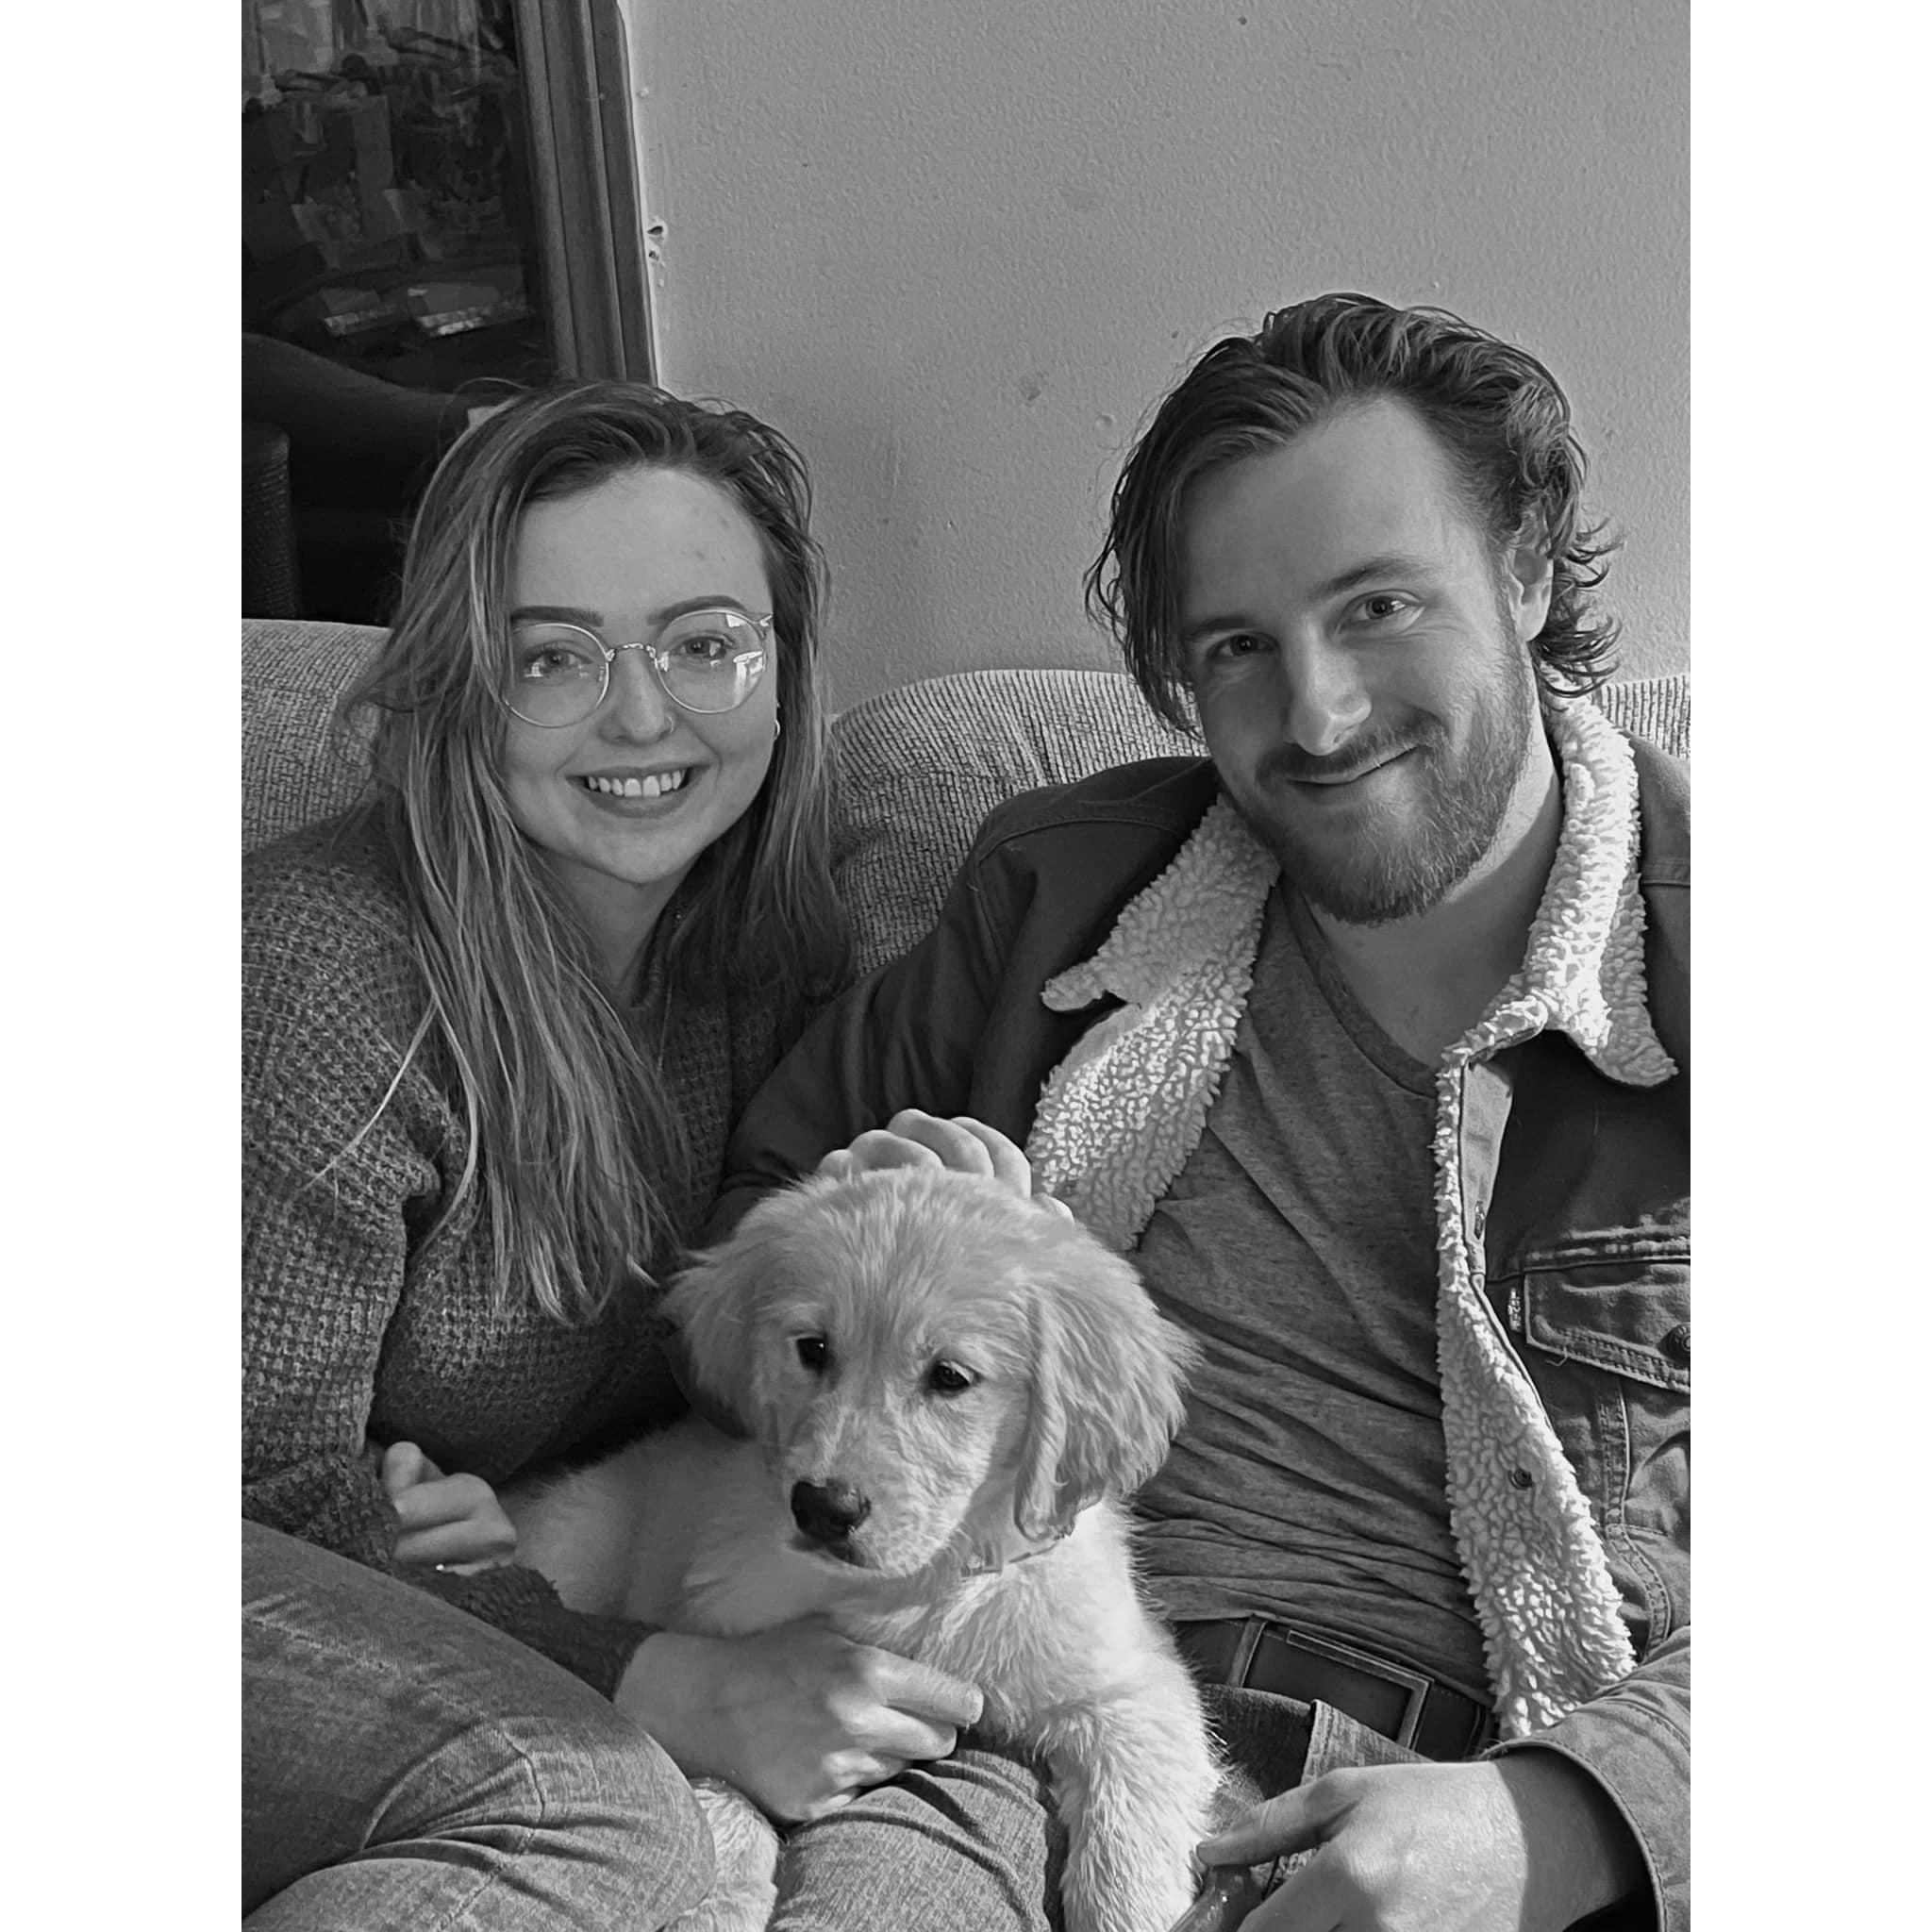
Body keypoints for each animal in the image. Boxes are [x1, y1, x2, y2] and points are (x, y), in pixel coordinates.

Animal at [505, 1165, 1220, 1932]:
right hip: (575, 1538)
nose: (824, 1509)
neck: (914, 1583)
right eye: (813, 1348)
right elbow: (727, 1777)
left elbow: (1131, 1835)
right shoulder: (726, 1651)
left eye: (951, 1377)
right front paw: (722, 1896)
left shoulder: (1133, 1689)